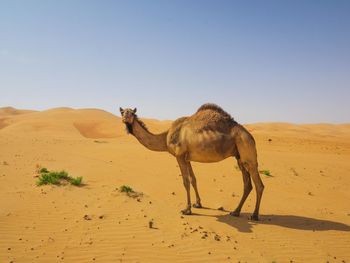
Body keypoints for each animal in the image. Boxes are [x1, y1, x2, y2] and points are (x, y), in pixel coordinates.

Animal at [119, 103, 264, 221]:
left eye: (131, 113)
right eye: (122, 112)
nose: (125, 119)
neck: (166, 137)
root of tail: (251, 137)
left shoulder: (179, 156)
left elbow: (186, 181)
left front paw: (187, 210)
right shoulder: (187, 158)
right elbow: (193, 179)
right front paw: (198, 204)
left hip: (247, 152)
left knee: (259, 184)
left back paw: (254, 215)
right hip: (239, 158)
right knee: (247, 184)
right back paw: (235, 212)